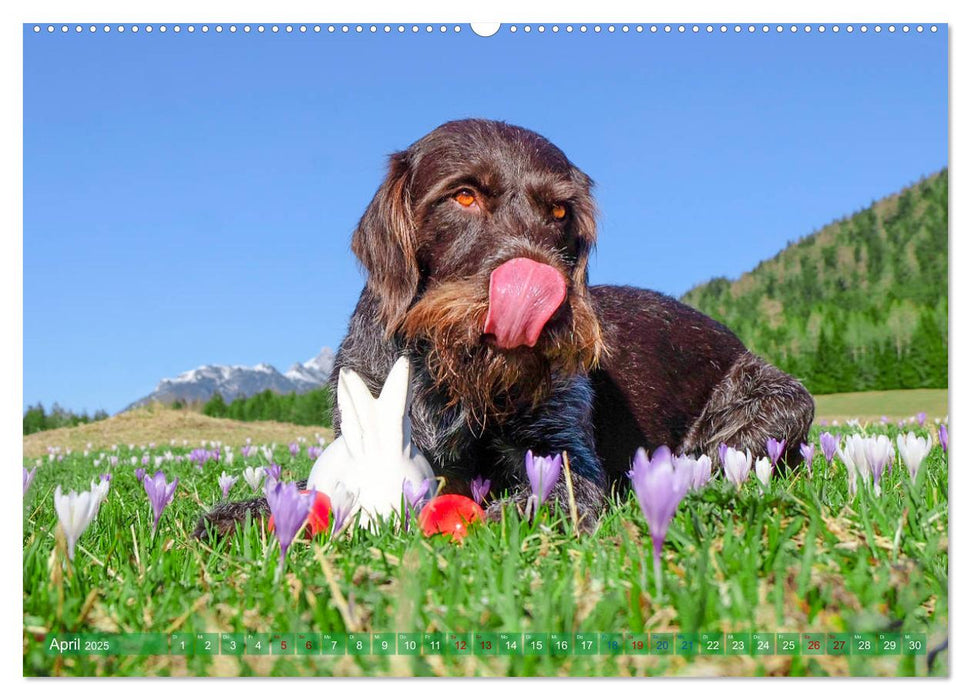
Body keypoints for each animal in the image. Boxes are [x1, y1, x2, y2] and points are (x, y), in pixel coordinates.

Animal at [192, 117, 812, 540]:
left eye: (560, 212)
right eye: (464, 195)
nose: (542, 295)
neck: (449, 377)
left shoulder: (566, 460)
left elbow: (534, 499)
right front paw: (238, 514)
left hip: (778, 405)